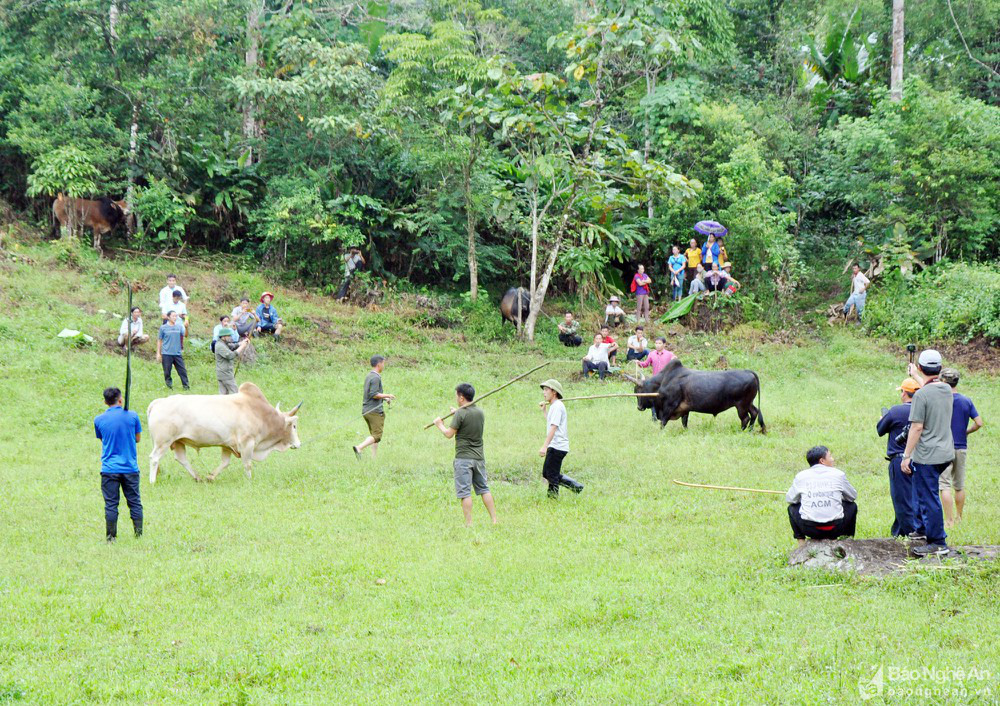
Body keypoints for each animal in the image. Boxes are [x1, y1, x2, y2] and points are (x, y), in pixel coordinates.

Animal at [146, 382, 300, 482]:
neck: (260, 413)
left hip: (177, 441)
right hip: (163, 442)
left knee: (181, 459)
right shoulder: (247, 443)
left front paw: (210, 477)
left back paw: (198, 477)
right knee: (154, 458)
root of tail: (158, 403)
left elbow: (225, 463)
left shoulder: (227, 445)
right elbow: (247, 464)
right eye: (294, 426)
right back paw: (153, 481)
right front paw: (250, 480)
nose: (299, 444)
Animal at [628, 360, 760, 432]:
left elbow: (663, 423)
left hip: (741, 405)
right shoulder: (685, 410)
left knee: (745, 418)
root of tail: (748, 372)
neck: (664, 380)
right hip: (749, 403)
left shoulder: (669, 406)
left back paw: (741, 431)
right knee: (754, 413)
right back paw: (751, 430)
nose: (639, 407)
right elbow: (684, 423)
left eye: (638, 390)